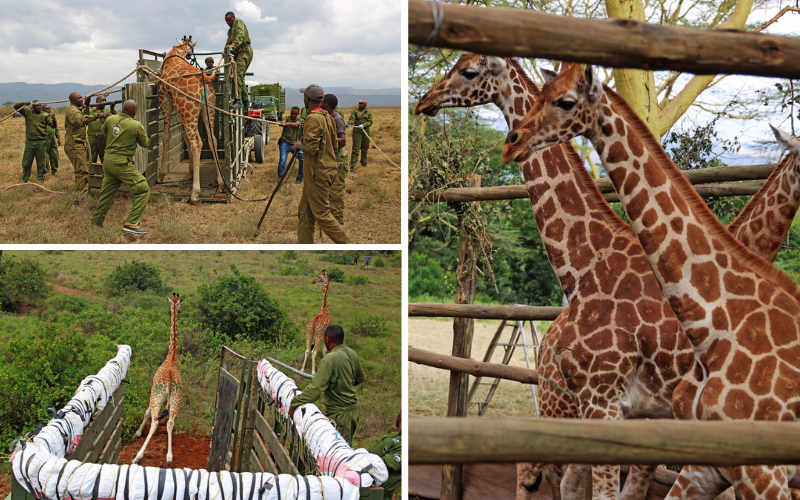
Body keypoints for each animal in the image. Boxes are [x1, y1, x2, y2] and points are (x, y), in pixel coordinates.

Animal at [132, 293, 183, 467]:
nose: (180, 311)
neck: (172, 354)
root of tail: (169, 380)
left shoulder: (153, 391)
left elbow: (147, 412)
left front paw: (137, 432)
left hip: (158, 395)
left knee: (154, 421)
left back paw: (138, 456)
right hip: (176, 398)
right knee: (170, 422)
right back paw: (169, 458)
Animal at [158, 36, 223, 204]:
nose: (190, 57)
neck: (174, 54)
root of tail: (205, 78)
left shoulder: (165, 100)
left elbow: (166, 136)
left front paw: (161, 175)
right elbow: (185, 137)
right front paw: (191, 171)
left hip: (187, 109)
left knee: (197, 142)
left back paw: (195, 193)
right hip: (208, 109)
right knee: (212, 139)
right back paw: (220, 183)